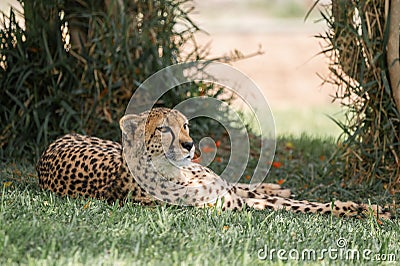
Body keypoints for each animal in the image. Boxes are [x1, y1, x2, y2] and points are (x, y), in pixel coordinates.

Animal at [37, 107, 394, 219]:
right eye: (164, 129)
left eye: (185, 125)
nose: (189, 145)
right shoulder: (236, 206)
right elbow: (309, 207)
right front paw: (361, 210)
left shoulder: (230, 194)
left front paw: (372, 208)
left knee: (245, 184)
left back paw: (275, 184)